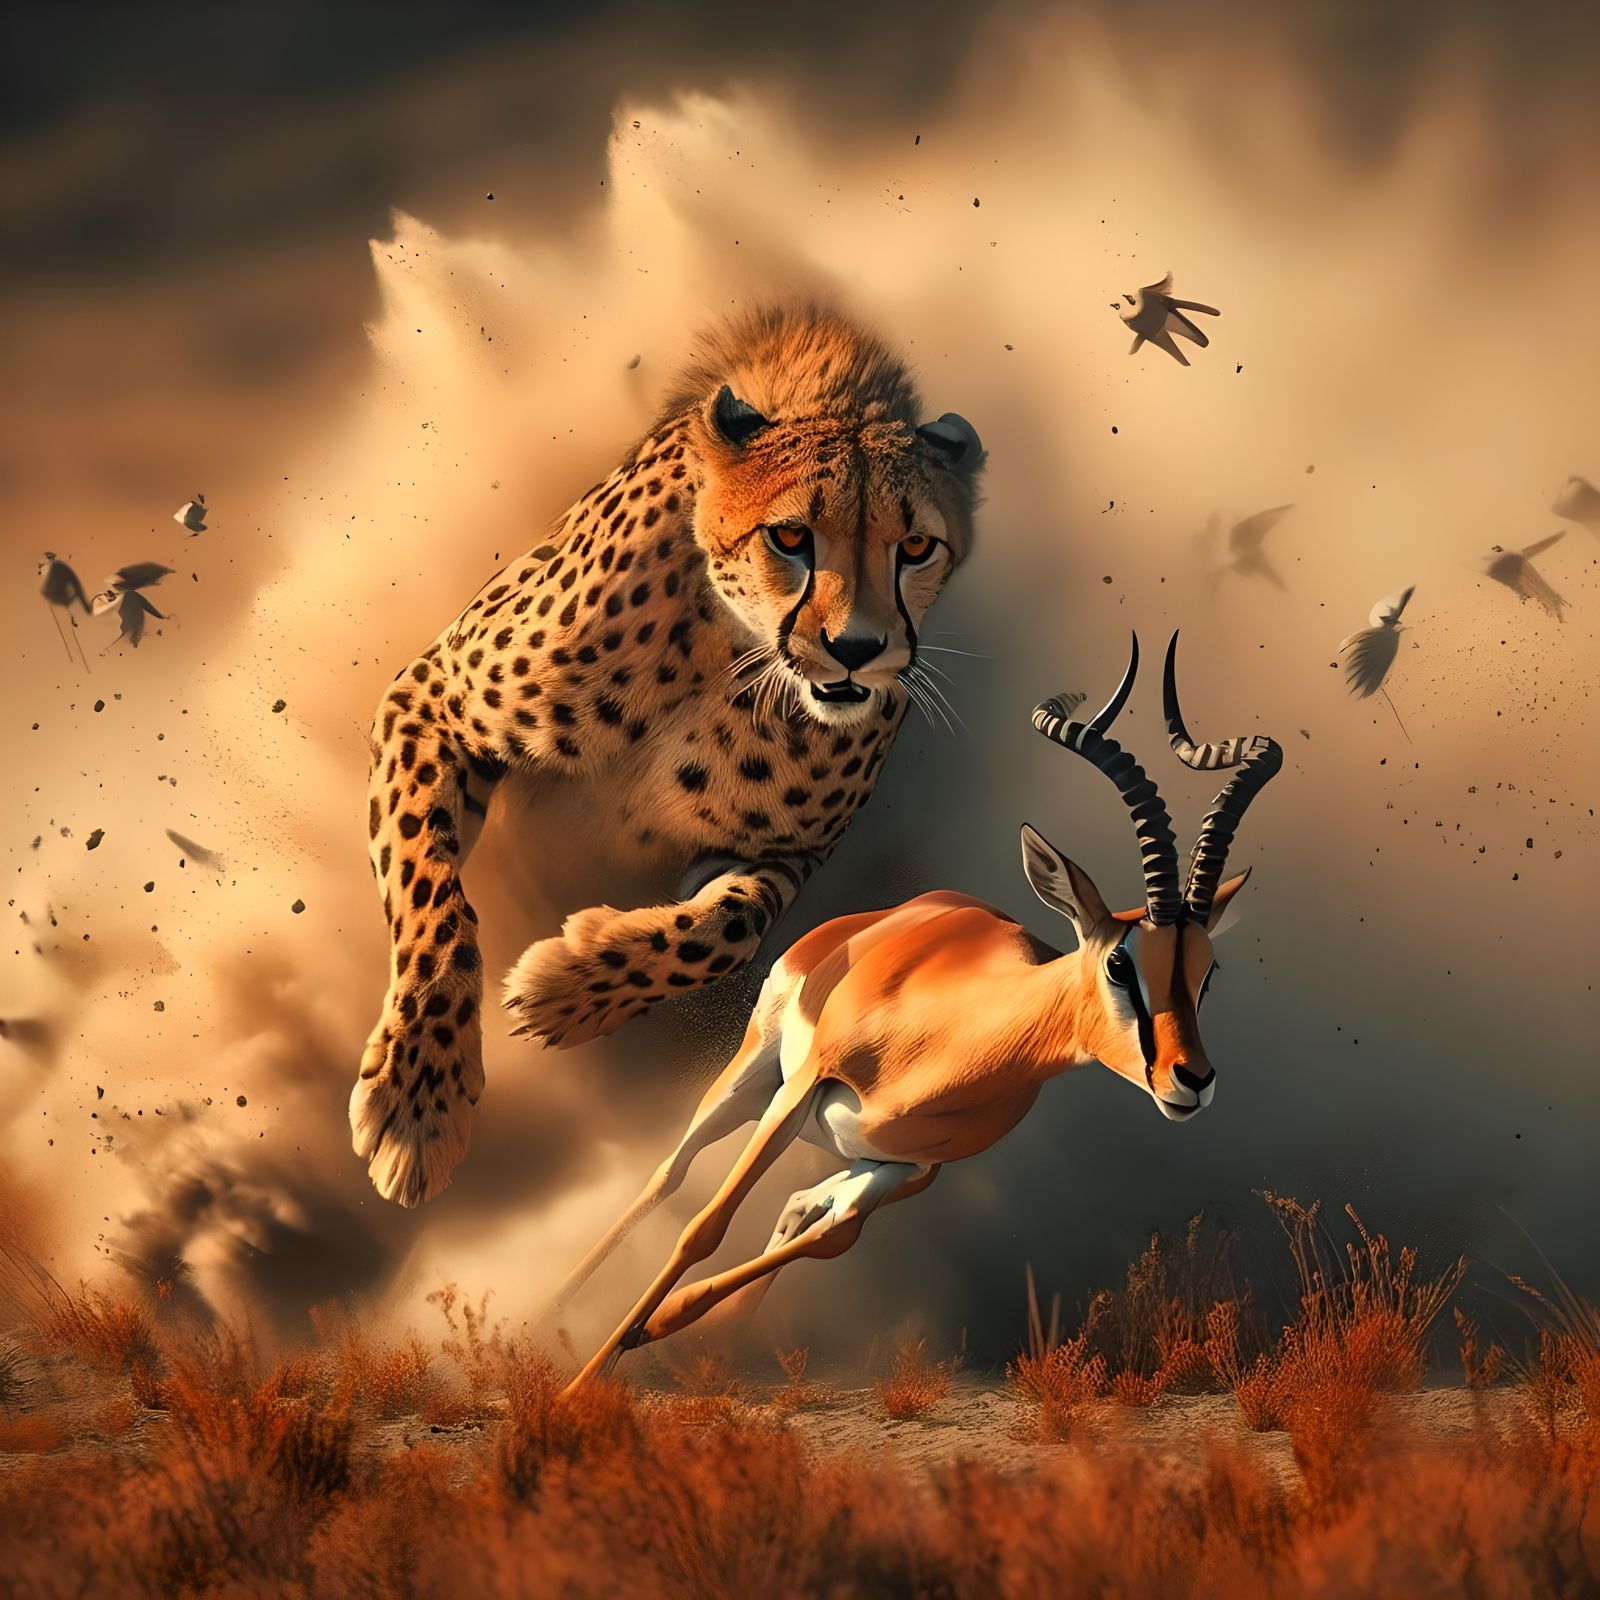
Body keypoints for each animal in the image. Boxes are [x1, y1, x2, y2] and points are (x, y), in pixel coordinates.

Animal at [351, 303, 984, 1206]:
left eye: (918, 548)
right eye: (792, 536)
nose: (859, 651)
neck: (729, 651)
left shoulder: (786, 853)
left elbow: (729, 928)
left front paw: (568, 989)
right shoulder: (430, 695)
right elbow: (432, 897)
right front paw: (419, 1093)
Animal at [562, 633, 1282, 1389]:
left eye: (1207, 973)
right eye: (1121, 963)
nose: (1191, 1079)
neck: (938, 1047)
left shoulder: (909, 1171)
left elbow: (832, 1237)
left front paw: (660, 1327)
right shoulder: (801, 1091)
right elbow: (705, 1226)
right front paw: (578, 1388)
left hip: (842, 1150)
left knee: (798, 1209)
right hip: (755, 1077)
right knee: (670, 1174)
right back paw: (550, 1314)